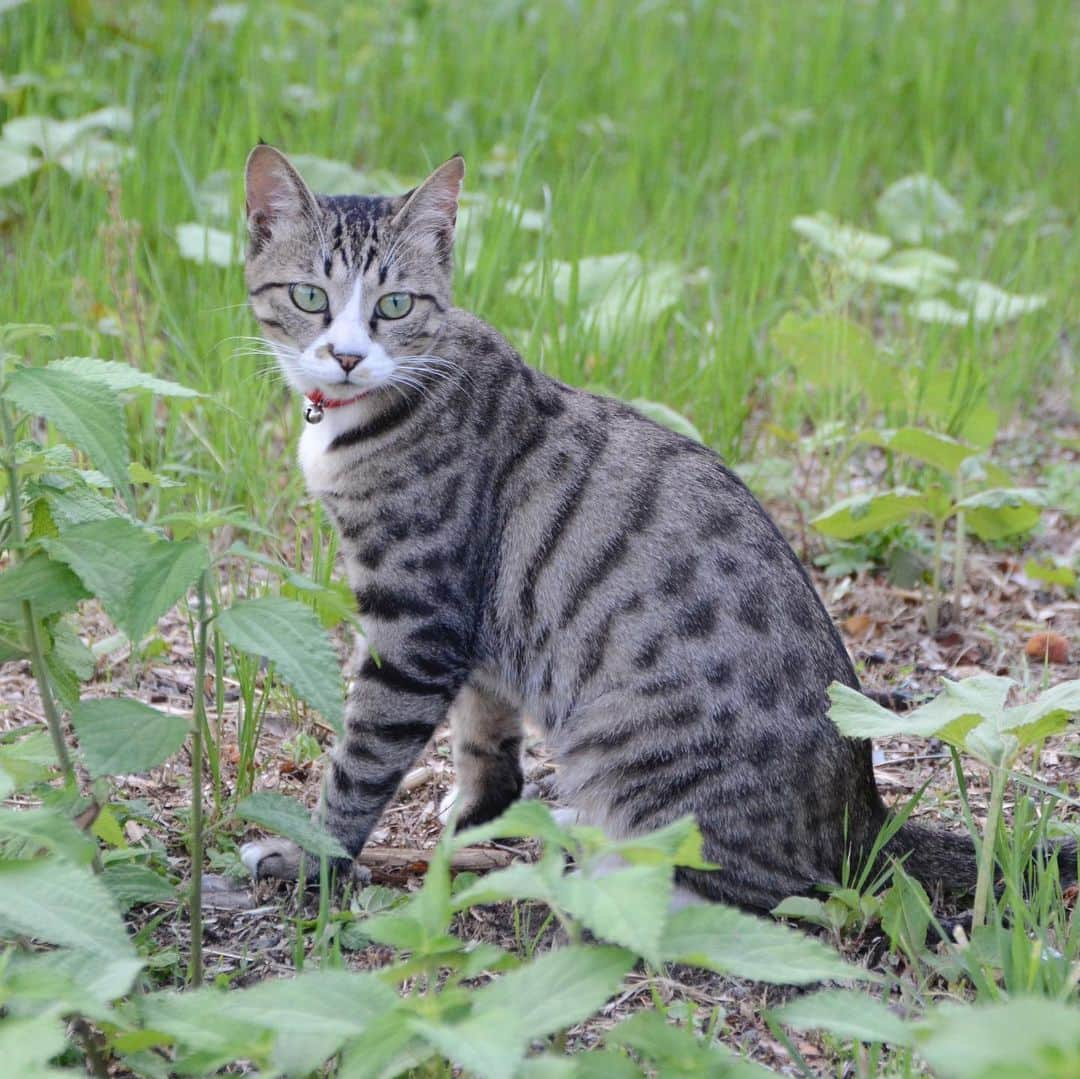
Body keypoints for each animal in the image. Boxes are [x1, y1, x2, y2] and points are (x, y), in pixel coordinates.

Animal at [236, 143, 1071, 911]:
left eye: (396, 306)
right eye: (310, 295)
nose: (347, 356)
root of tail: (865, 819)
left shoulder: (419, 621)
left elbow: (363, 760)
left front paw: (309, 856)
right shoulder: (476, 635)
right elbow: (489, 750)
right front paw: (471, 823)